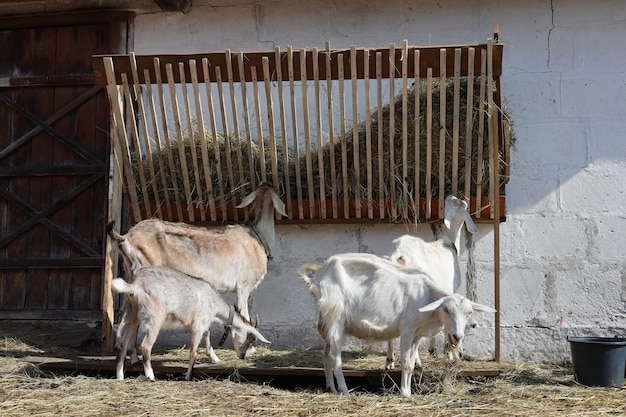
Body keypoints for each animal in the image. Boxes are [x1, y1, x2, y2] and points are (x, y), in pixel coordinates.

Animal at [107, 182, 282, 360]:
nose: (244, 353)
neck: (257, 239)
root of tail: (126, 238)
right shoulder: (244, 286)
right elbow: (244, 315)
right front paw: (239, 350)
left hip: (131, 274)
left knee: (124, 313)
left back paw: (127, 353)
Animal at [112, 266, 268, 380]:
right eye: (250, 339)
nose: (243, 356)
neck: (212, 300)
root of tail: (135, 286)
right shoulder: (197, 324)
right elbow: (193, 351)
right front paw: (188, 376)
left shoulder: (199, 323)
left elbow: (207, 332)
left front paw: (214, 358)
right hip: (155, 317)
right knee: (145, 346)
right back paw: (150, 376)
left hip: (131, 314)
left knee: (122, 345)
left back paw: (120, 377)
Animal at [298, 254, 492, 396]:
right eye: (446, 310)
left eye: (468, 313)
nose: (457, 336)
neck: (428, 296)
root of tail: (319, 278)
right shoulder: (407, 330)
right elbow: (405, 363)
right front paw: (405, 393)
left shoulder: (417, 335)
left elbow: (412, 364)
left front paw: (408, 390)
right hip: (335, 319)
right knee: (334, 357)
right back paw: (344, 390)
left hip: (328, 324)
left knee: (325, 355)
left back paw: (330, 387)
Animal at [382, 193, 476, 366]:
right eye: (452, 202)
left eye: (463, 204)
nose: (450, 194)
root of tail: (397, 254)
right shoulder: (448, 292)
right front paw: (449, 353)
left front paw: (434, 350)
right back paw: (416, 361)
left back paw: (390, 360)